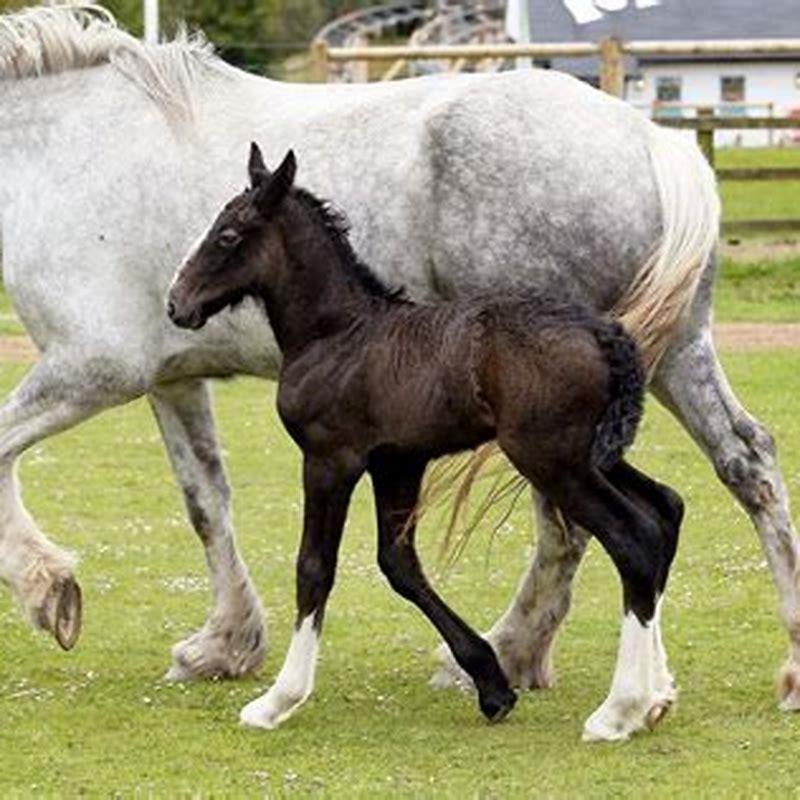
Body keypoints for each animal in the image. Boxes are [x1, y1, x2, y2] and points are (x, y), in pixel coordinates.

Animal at [167, 144, 685, 737]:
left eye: (228, 235)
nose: (177, 304)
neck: (337, 334)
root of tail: (603, 332)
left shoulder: (329, 458)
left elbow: (314, 568)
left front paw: (278, 700)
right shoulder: (399, 463)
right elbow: (399, 564)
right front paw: (492, 685)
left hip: (551, 460)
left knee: (633, 538)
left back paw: (618, 710)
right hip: (593, 454)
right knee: (666, 511)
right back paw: (655, 696)